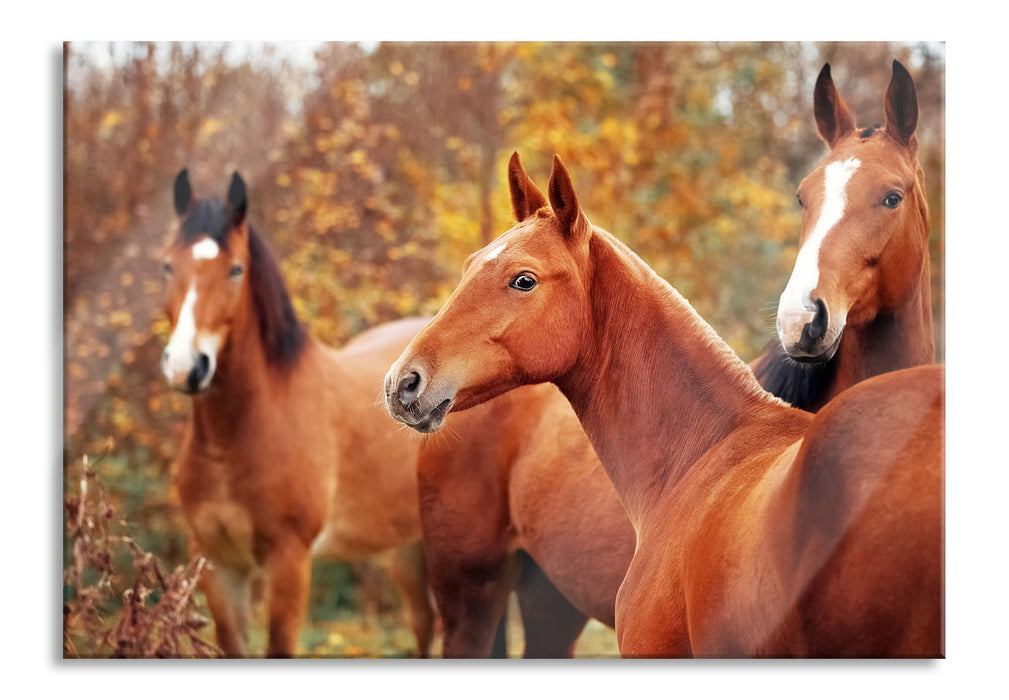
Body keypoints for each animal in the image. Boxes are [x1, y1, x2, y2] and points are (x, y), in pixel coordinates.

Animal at [159, 170, 435, 657]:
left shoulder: (289, 562)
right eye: (168, 267)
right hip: (407, 547)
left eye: (236, 270)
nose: (184, 367)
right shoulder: (219, 564)